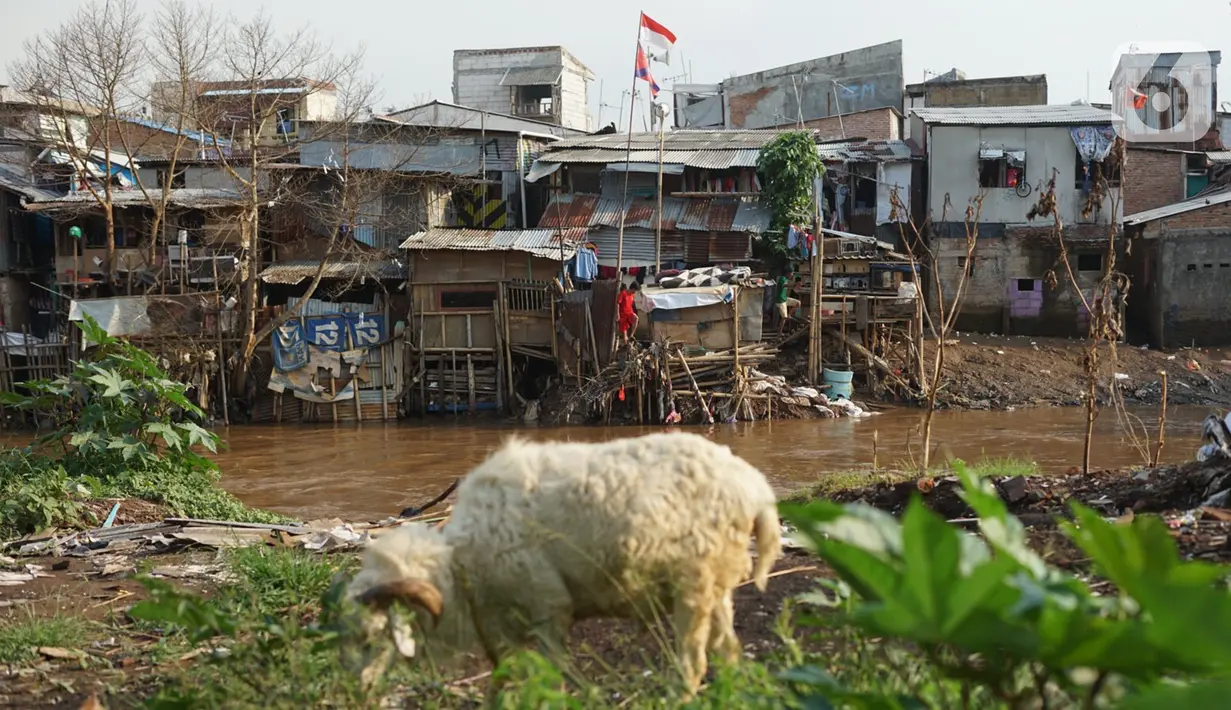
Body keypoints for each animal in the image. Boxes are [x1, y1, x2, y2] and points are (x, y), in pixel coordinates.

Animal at [344, 428, 777, 694]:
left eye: (374, 637)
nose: (360, 687)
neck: (459, 565)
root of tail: (754, 486)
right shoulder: (502, 626)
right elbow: (502, 678)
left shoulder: (547, 609)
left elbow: (551, 676)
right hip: (716, 584)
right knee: (729, 651)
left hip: (694, 583)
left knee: (693, 662)